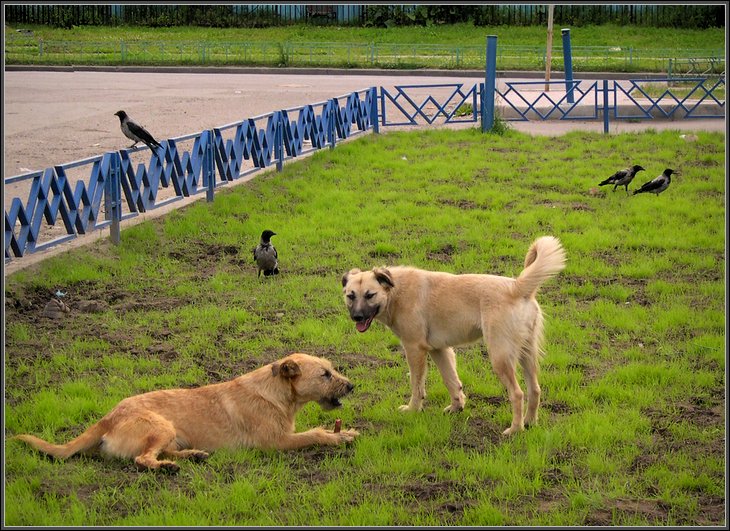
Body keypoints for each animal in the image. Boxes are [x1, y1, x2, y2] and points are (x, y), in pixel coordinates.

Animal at [13, 354, 358, 470]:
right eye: (325, 374)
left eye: (332, 369)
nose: (352, 385)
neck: (276, 393)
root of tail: (107, 418)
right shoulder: (276, 442)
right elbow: (314, 434)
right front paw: (337, 437)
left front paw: (345, 431)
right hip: (160, 426)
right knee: (143, 459)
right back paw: (166, 467)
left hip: (171, 434)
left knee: (161, 452)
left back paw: (193, 455)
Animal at [342, 237, 564, 436]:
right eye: (350, 295)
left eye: (370, 295)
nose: (356, 317)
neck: (395, 291)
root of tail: (517, 287)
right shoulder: (439, 350)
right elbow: (451, 381)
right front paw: (457, 408)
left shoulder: (414, 349)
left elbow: (416, 384)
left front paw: (413, 409)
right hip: (527, 354)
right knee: (535, 390)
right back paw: (529, 422)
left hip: (500, 357)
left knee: (517, 394)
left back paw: (515, 429)